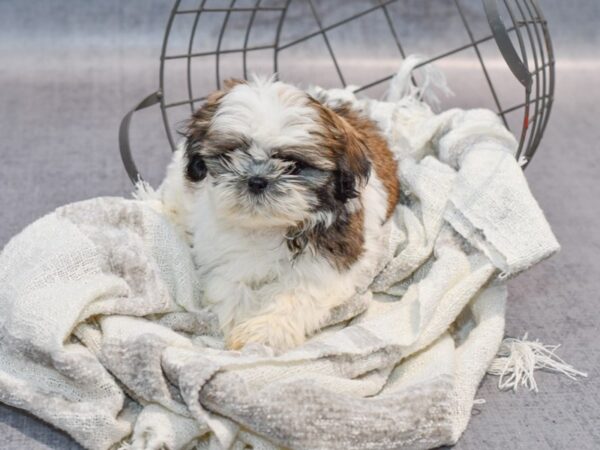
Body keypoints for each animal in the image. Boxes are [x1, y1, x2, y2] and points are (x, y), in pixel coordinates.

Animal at [158, 76, 398, 352]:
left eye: (294, 165)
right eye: (231, 154)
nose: (256, 180)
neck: (266, 226)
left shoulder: (327, 261)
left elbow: (297, 294)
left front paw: (264, 331)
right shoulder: (221, 258)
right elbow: (230, 285)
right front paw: (242, 321)